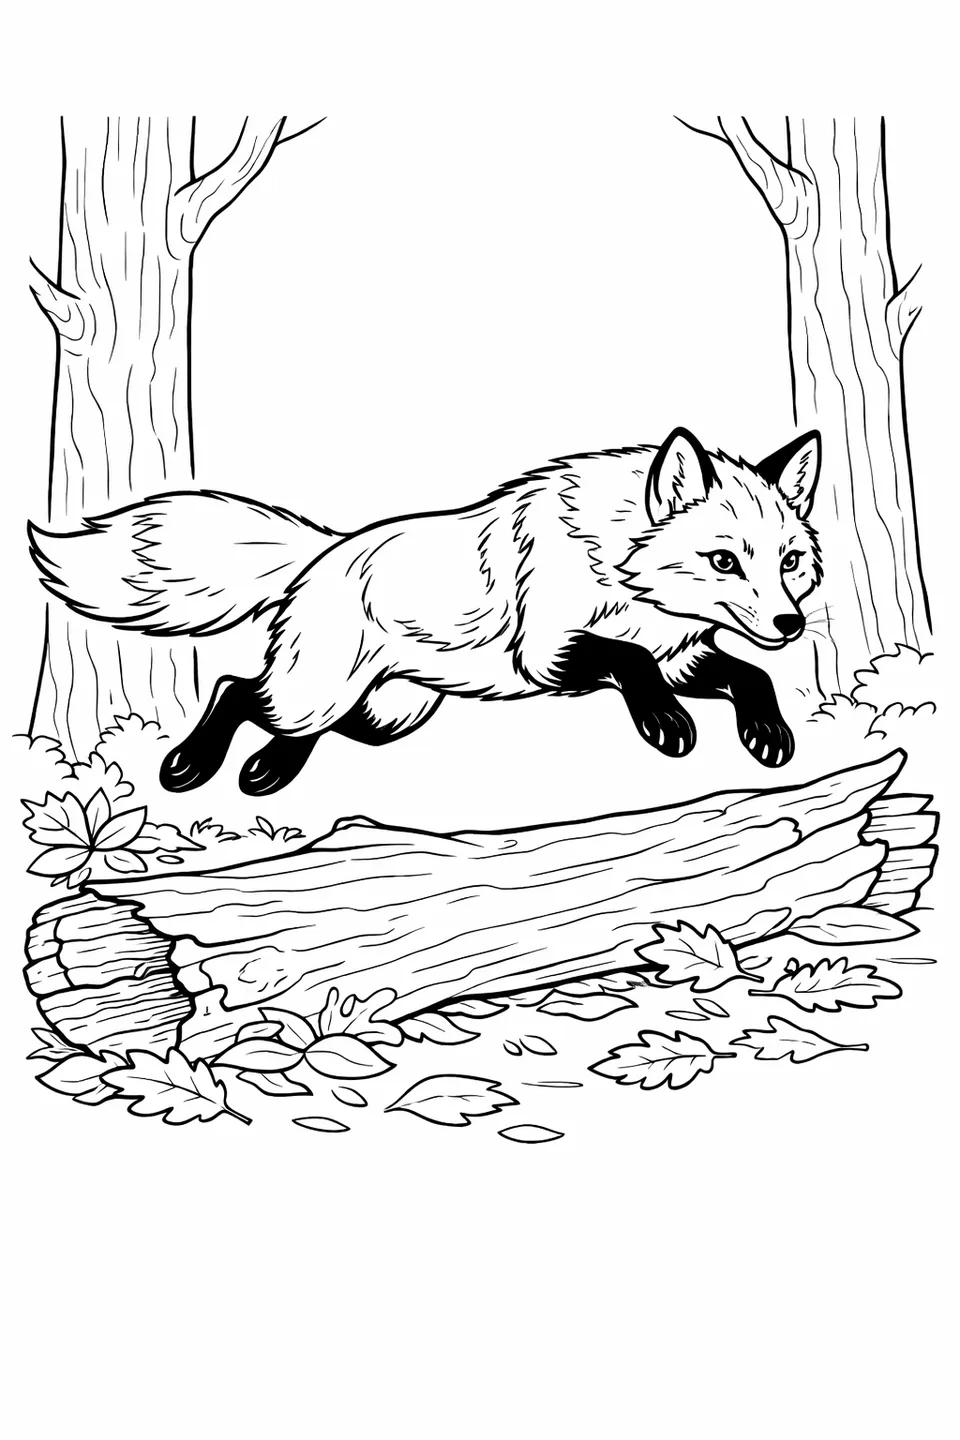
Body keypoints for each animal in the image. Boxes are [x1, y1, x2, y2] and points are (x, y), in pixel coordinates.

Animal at [29, 426, 822, 796]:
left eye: (789, 562)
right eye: (725, 561)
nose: (792, 625)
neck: (624, 580)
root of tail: (326, 550)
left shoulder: (684, 657)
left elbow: (753, 676)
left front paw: (768, 735)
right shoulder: (549, 656)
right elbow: (627, 662)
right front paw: (665, 724)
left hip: (386, 717)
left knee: (276, 713)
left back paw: (268, 769)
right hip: (323, 691)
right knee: (236, 690)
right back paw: (194, 765)